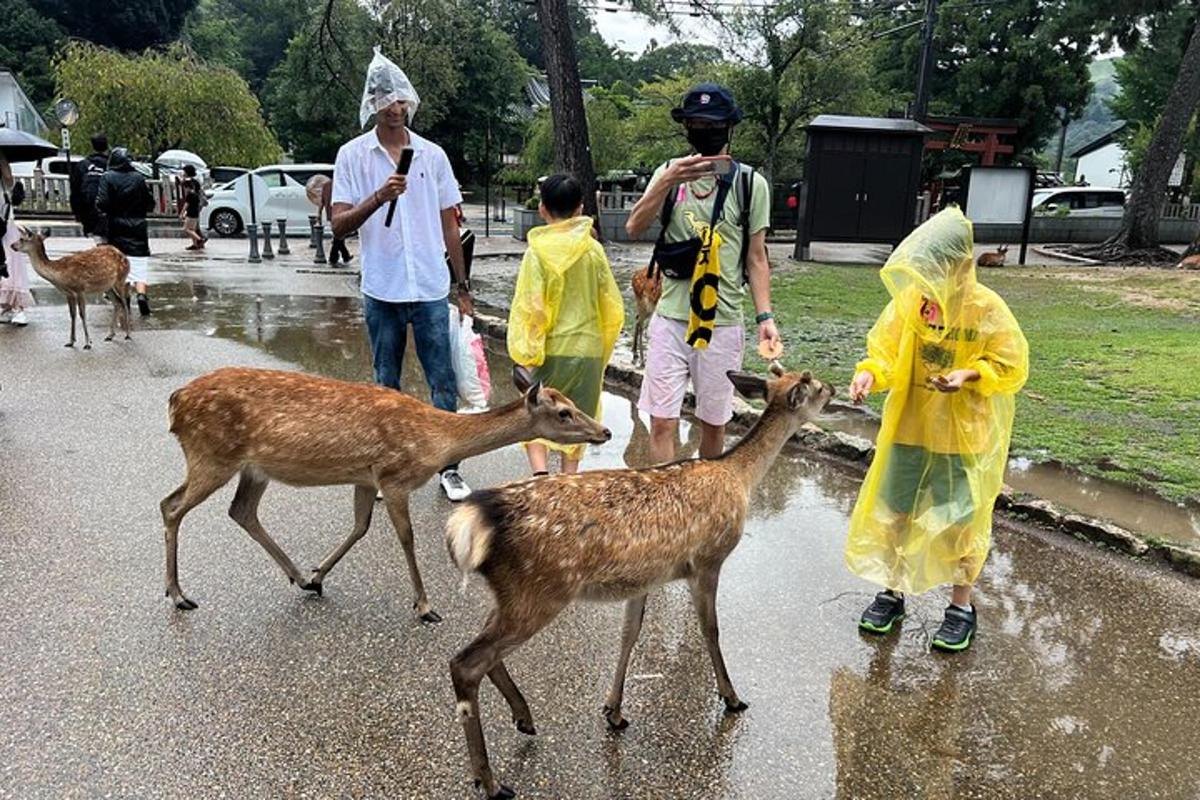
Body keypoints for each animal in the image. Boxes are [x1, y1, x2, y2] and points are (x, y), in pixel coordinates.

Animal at [159, 369, 609, 618]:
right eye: (564, 412)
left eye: (572, 402)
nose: (603, 431)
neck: (435, 439)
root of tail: (175, 402)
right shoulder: (393, 475)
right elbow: (406, 538)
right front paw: (425, 606)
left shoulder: (365, 476)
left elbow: (360, 527)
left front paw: (319, 575)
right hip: (211, 454)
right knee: (171, 505)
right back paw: (179, 595)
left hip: (253, 467)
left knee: (241, 511)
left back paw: (299, 578)